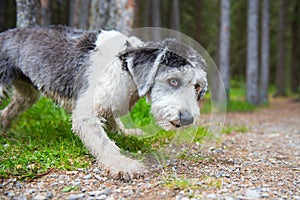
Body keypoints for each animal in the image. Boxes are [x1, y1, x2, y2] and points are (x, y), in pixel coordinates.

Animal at [0, 25, 207, 180]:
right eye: (173, 81)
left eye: (197, 87)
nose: (188, 119)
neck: (126, 68)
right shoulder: (85, 113)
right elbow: (103, 142)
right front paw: (123, 165)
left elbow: (112, 119)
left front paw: (126, 132)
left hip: (26, 92)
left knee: (10, 109)